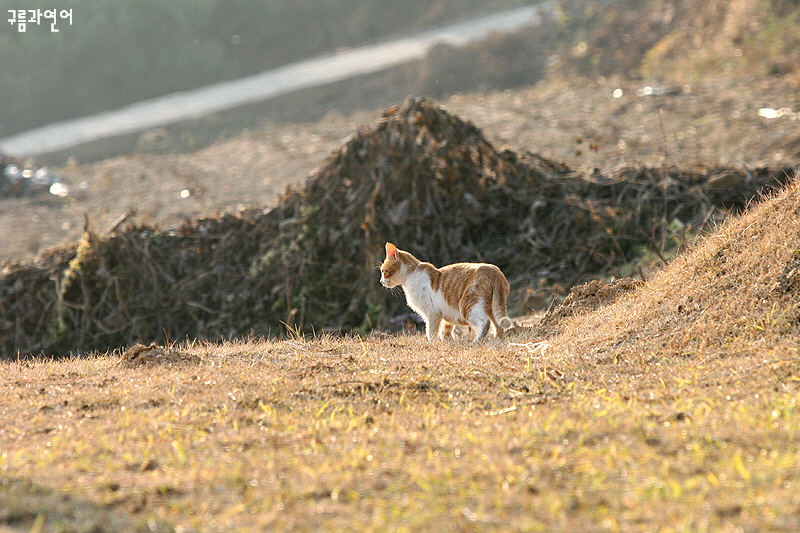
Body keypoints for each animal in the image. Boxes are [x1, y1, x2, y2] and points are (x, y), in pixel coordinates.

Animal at [380, 241, 512, 340]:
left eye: (383, 271)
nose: (381, 282)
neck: (411, 275)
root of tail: (495, 272)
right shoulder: (447, 313)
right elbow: (446, 330)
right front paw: (448, 341)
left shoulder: (431, 313)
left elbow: (431, 332)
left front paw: (433, 343)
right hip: (492, 308)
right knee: (499, 326)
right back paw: (497, 339)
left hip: (468, 306)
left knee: (485, 322)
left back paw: (476, 341)